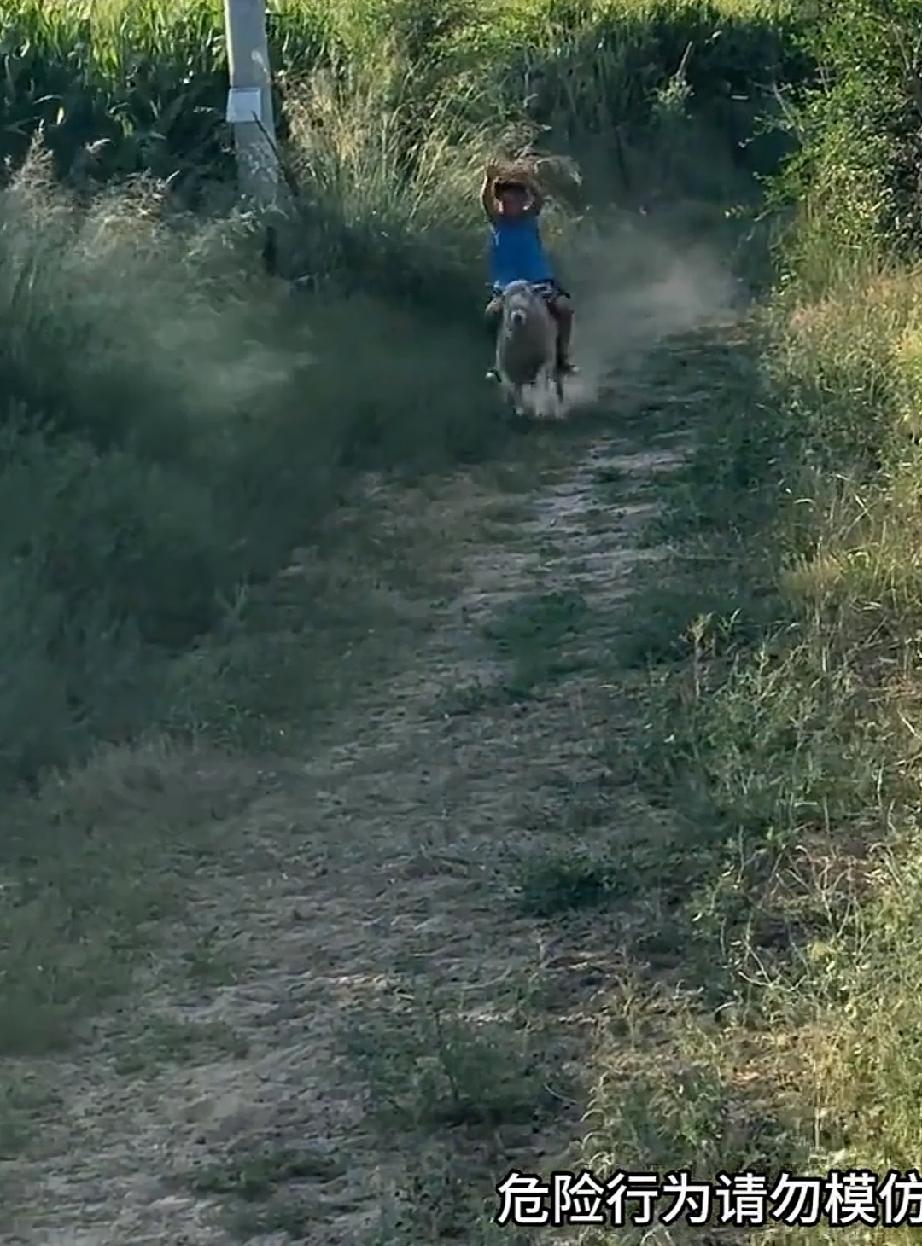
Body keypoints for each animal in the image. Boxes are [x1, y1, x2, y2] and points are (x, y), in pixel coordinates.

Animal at [493, 280, 565, 419]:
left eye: (528, 294)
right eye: (505, 297)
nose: (518, 316)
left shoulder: (543, 362)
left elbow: (540, 385)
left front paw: (540, 411)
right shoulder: (510, 369)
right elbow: (515, 389)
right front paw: (519, 411)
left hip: (553, 364)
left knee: (555, 385)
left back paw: (559, 411)